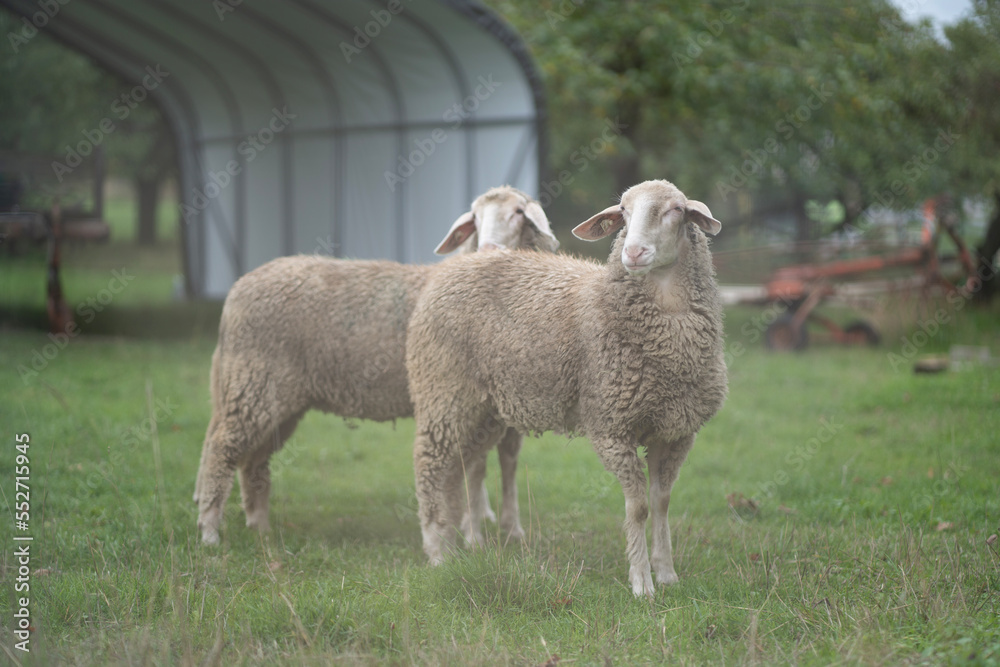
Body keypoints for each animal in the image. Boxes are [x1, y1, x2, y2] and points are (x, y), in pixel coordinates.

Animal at [194, 186, 557, 545]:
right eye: (475, 218)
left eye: (519, 212)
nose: (488, 249)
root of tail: (238, 288)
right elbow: (478, 468)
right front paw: (474, 531)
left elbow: (507, 463)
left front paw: (510, 528)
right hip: (252, 383)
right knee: (220, 448)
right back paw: (210, 531)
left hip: (274, 397)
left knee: (253, 460)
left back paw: (259, 527)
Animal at [405, 179, 728, 596]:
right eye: (623, 212)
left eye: (676, 210)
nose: (633, 252)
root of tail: (453, 267)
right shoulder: (612, 427)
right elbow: (638, 508)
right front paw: (642, 583)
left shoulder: (675, 432)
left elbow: (662, 503)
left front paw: (668, 573)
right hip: (443, 389)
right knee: (429, 465)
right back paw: (436, 551)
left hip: (483, 410)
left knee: (456, 468)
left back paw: (453, 542)